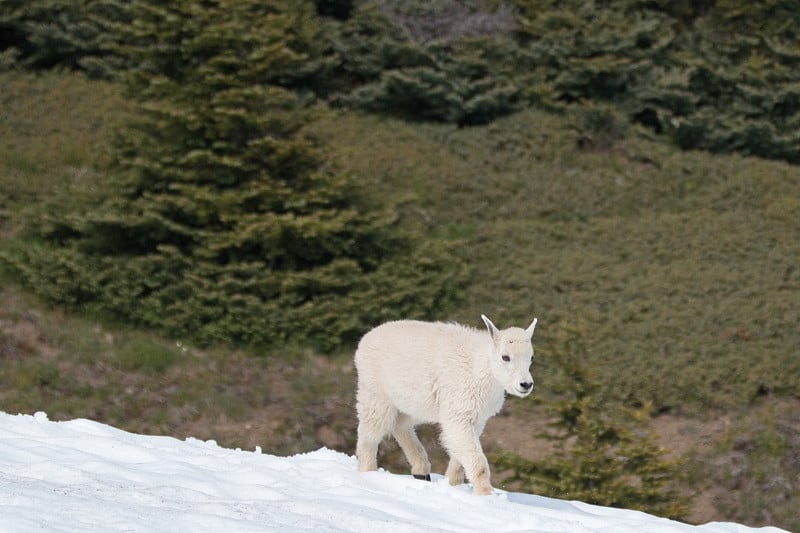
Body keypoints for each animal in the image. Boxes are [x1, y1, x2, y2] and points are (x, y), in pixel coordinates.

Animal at [354, 314, 536, 492]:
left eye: (531, 357)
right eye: (505, 357)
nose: (526, 384)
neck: (481, 369)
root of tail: (364, 341)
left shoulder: (476, 419)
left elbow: (459, 456)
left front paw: (453, 483)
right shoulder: (458, 414)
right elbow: (477, 462)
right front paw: (485, 494)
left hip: (414, 404)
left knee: (400, 425)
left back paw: (421, 471)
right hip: (376, 396)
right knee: (369, 433)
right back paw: (369, 471)